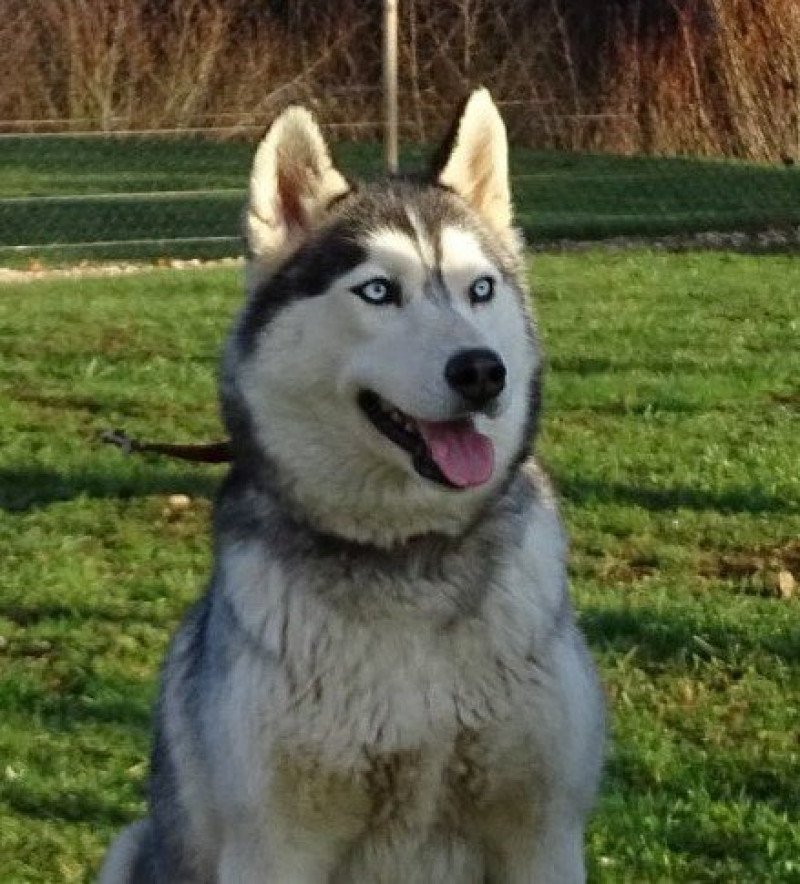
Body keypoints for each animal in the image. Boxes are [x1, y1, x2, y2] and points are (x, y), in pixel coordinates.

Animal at [98, 91, 600, 884]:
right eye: (378, 291)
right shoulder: (273, 844)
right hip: (131, 844)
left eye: (480, 289)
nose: (483, 371)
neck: (407, 559)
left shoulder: (542, 834)